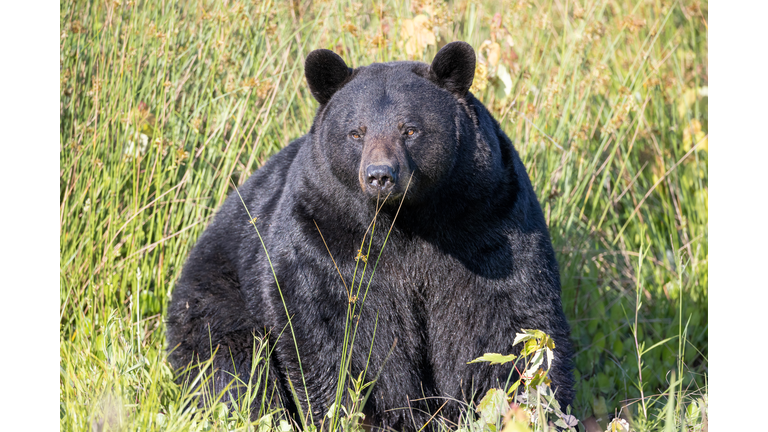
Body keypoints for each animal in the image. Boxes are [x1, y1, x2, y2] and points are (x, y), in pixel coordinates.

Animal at [166, 41, 574, 431]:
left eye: (410, 129)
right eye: (356, 132)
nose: (380, 175)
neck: (407, 223)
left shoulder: (488, 222)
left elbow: (503, 324)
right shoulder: (326, 238)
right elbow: (339, 335)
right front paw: (371, 416)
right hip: (216, 301)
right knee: (231, 367)